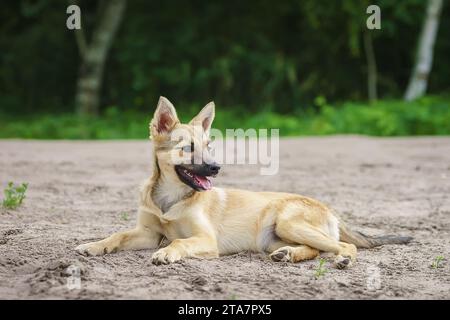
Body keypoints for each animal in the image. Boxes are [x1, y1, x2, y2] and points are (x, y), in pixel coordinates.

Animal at [75, 97, 414, 268]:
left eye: (209, 145)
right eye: (188, 147)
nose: (216, 167)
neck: (171, 198)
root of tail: (329, 209)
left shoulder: (205, 240)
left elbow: (180, 241)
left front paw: (168, 253)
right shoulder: (147, 233)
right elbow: (117, 235)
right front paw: (93, 246)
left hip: (289, 223)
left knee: (343, 246)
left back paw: (342, 259)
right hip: (278, 237)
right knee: (315, 250)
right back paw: (289, 255)